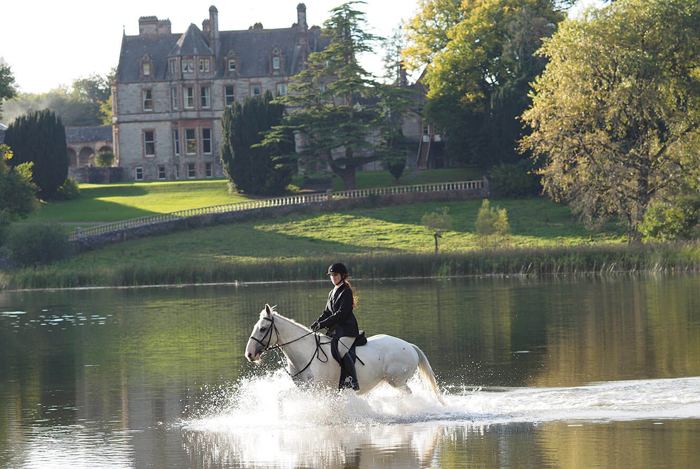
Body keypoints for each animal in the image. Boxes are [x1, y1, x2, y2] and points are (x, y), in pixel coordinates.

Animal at [245, 304, 442, 402]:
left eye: (262, 329)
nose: (249, 354)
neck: (305, 354)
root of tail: (410, 346)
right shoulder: (305, 390)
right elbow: (280, 397)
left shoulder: (320, 390)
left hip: (397, 381)